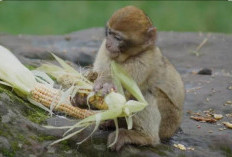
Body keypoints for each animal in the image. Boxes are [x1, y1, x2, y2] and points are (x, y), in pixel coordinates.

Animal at [92, 5, 185, 151]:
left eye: (118, 38)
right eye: (109, 33)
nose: (108, 44)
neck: (128, 56)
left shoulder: (146, 60)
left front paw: (106, 82)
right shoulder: (104, 50)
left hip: (168, 123)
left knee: (144, 93)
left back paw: (144, 137)